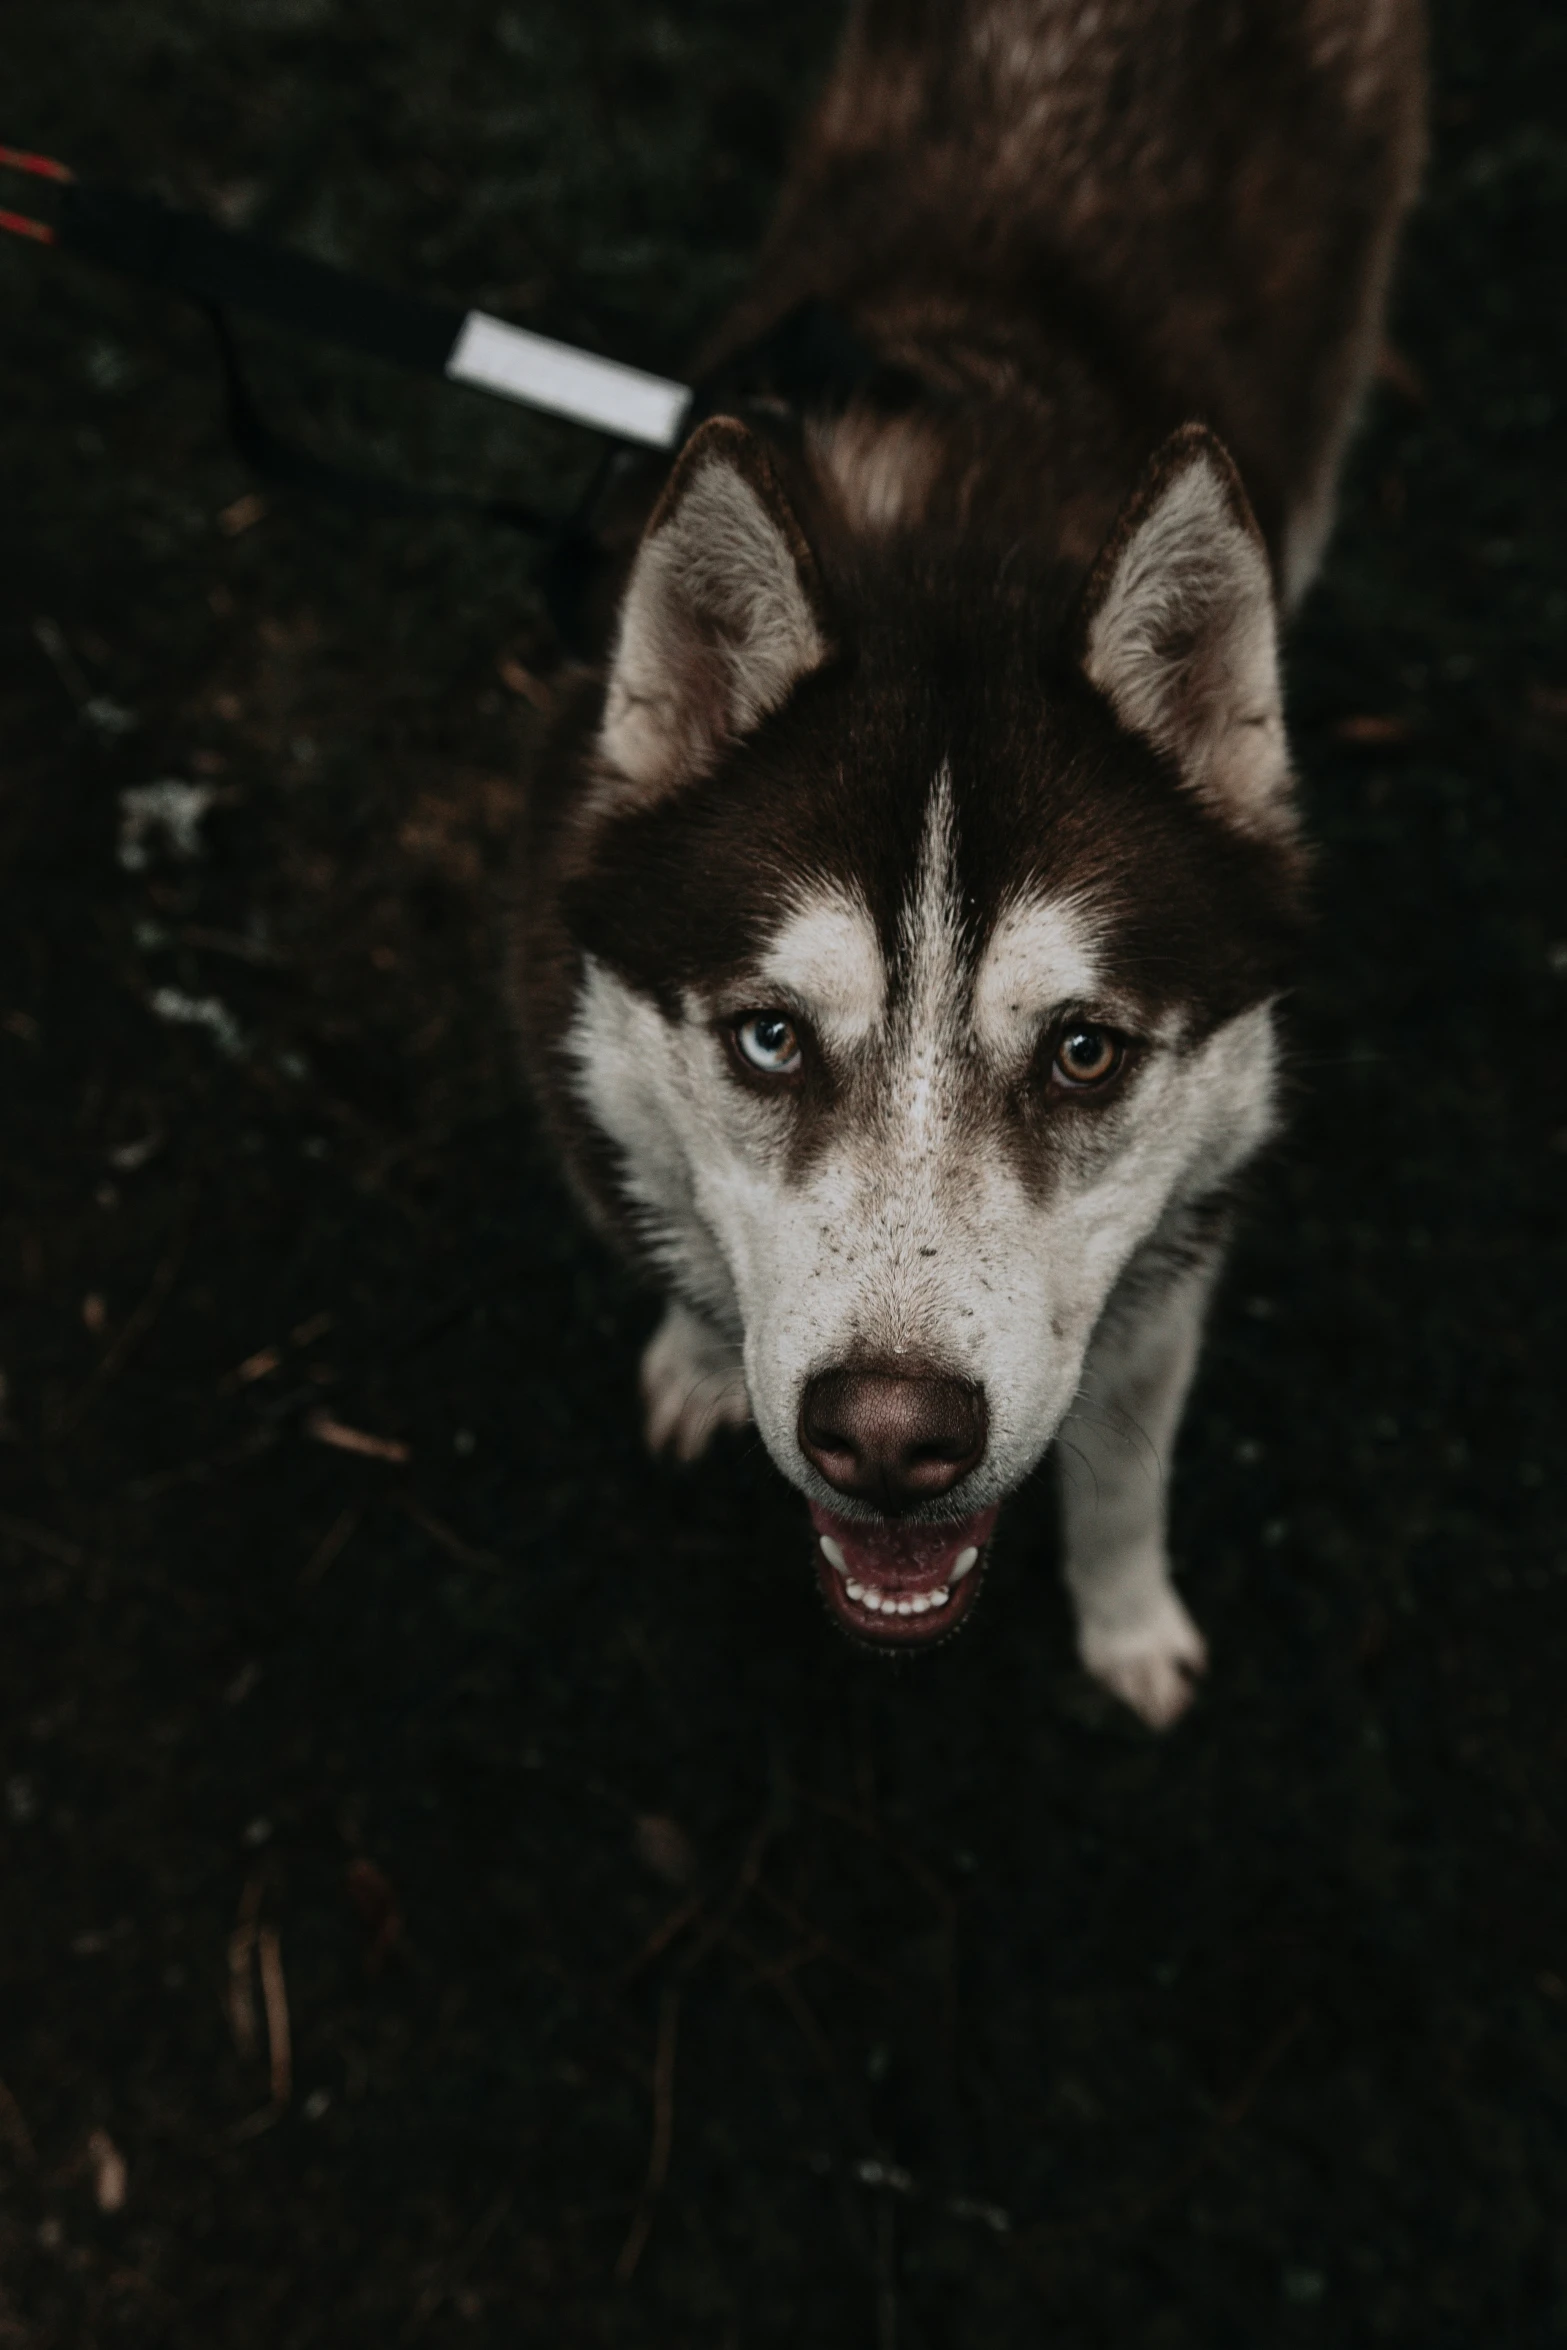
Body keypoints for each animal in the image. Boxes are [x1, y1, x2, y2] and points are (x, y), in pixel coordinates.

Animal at [509, 0, 1428, 1729]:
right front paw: (693, 1348)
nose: (886, 1440)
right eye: (768, 1035)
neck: (951, 540)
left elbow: (1122, 1471)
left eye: (1083, 1051)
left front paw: (1125, 1622)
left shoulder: (1169, 1267)